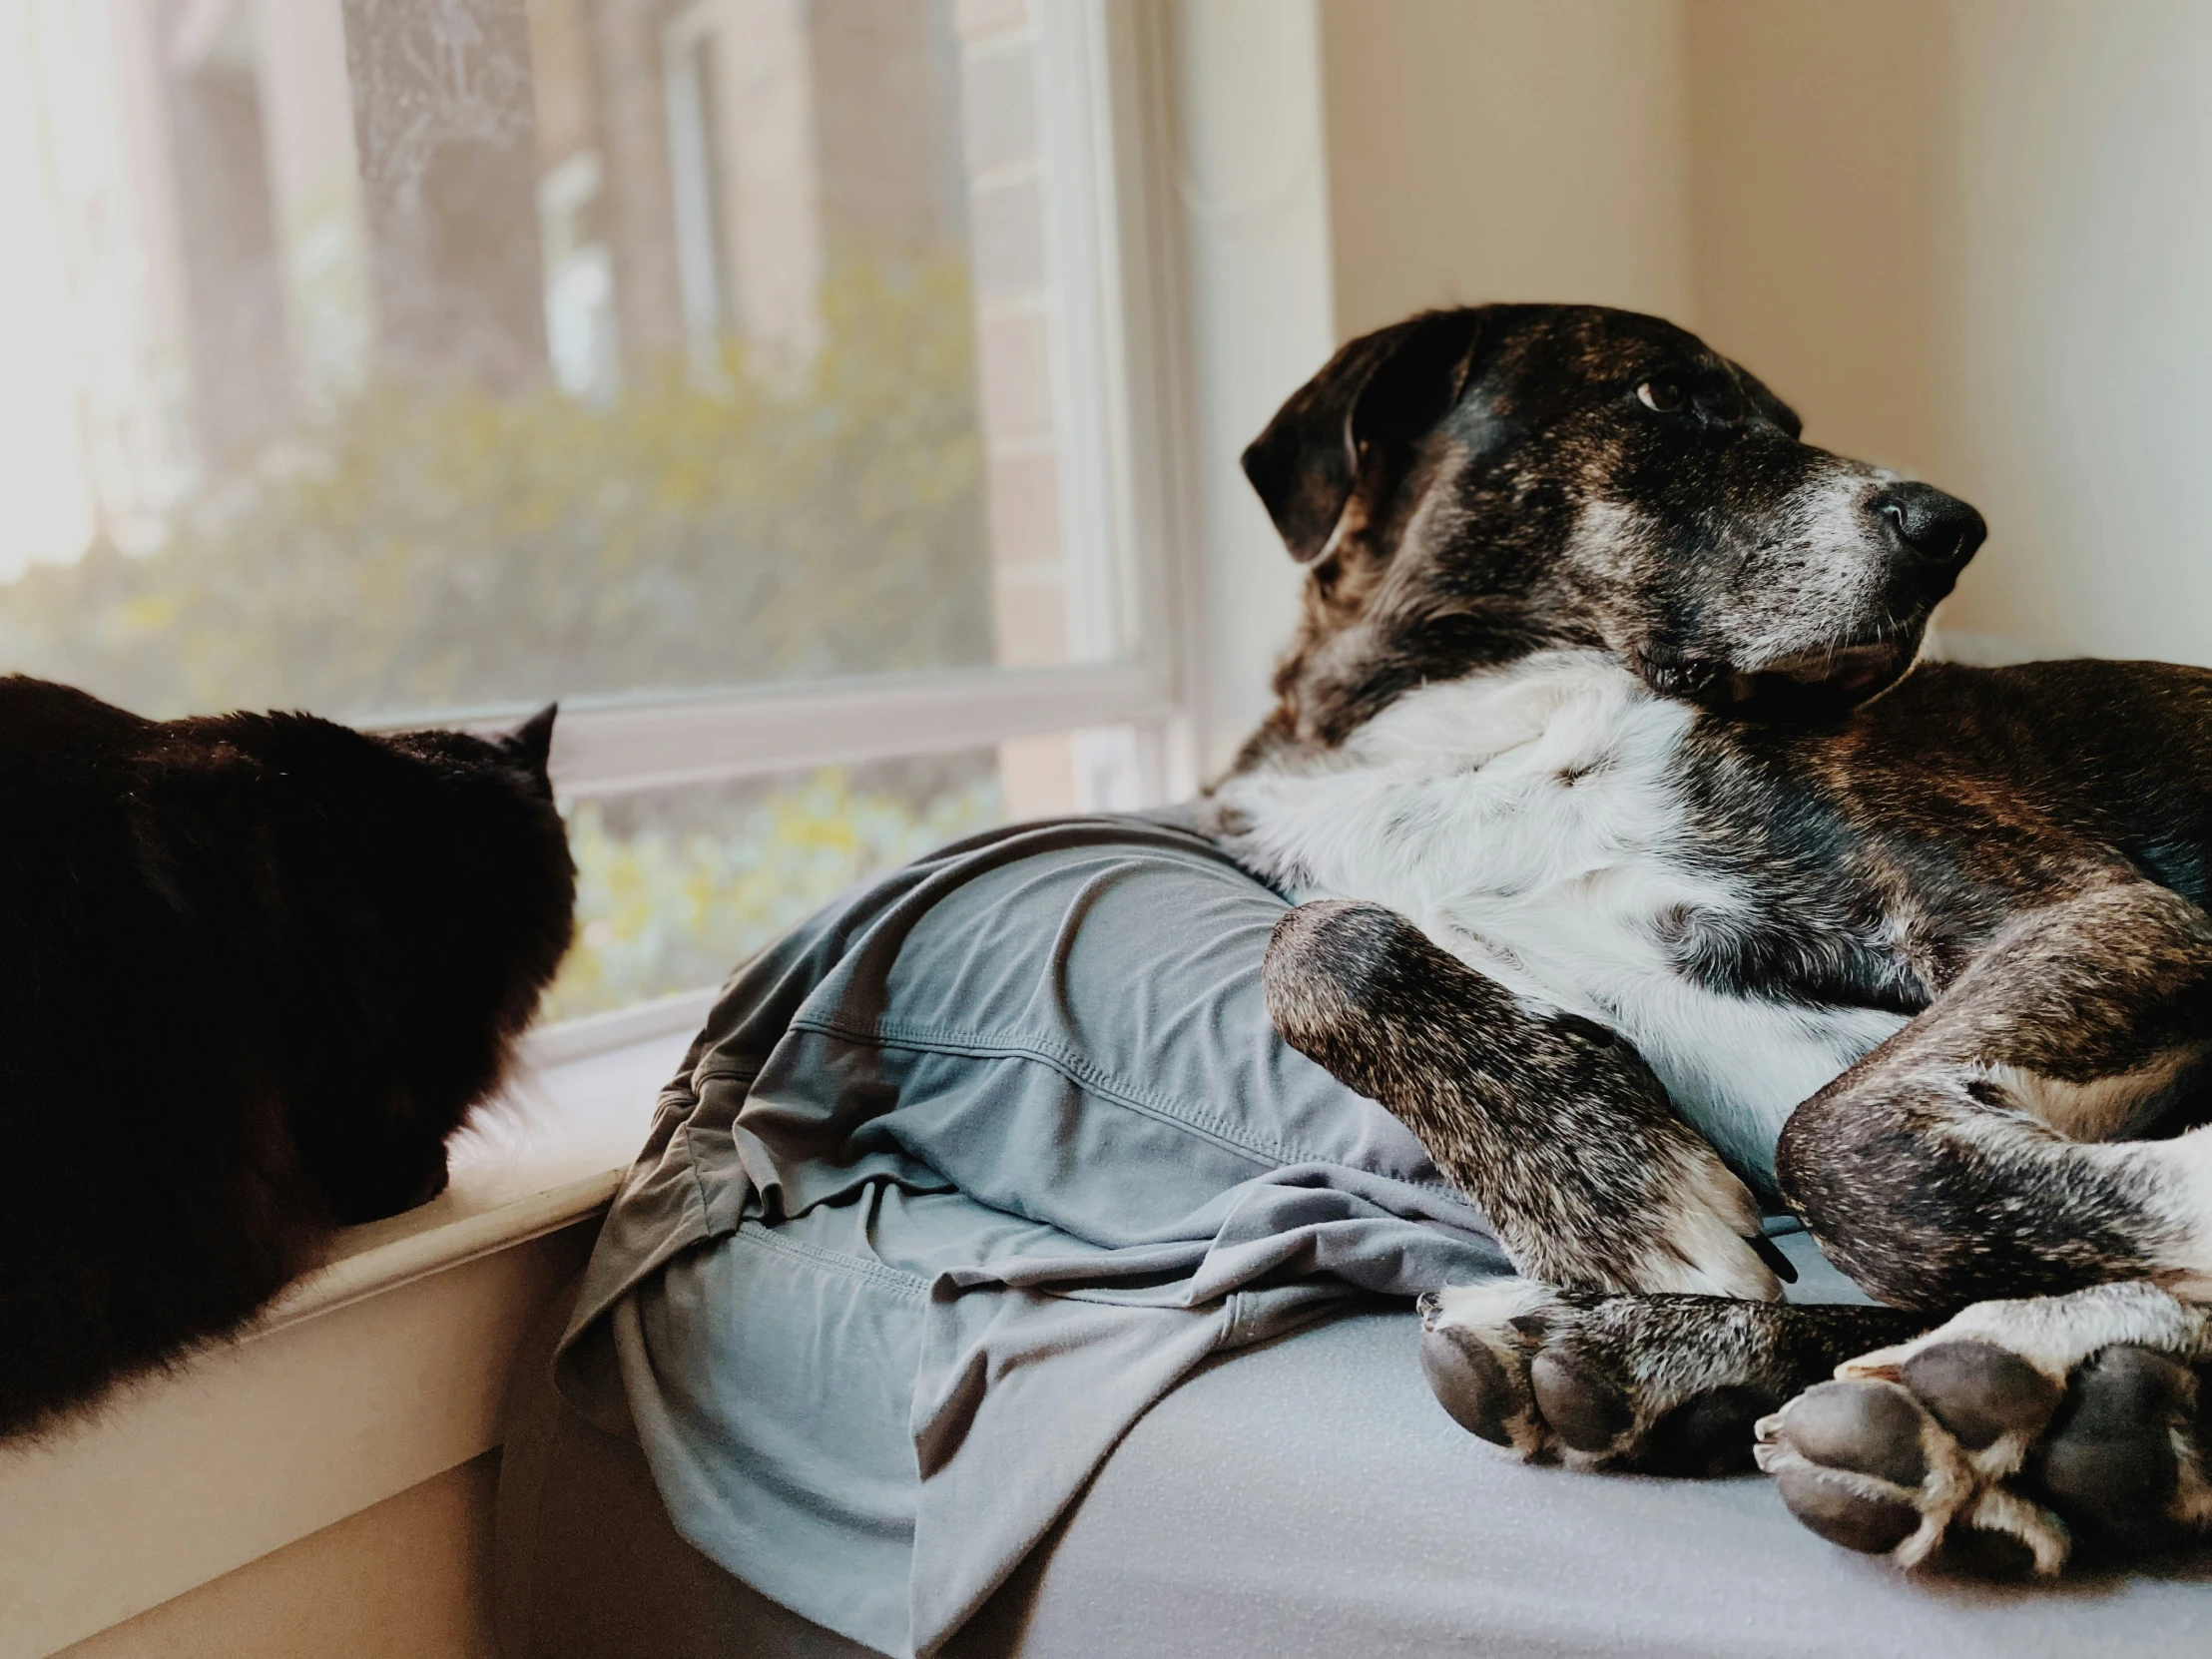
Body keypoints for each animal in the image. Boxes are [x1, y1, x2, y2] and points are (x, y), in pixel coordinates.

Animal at [1212, 309, 2212, 1574]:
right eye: (1661, 397)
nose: (1952, 529)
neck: (1470, 731)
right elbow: (1312, 945)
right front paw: (1605, 1191)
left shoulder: (2099, 910)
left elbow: (1842, 1143)